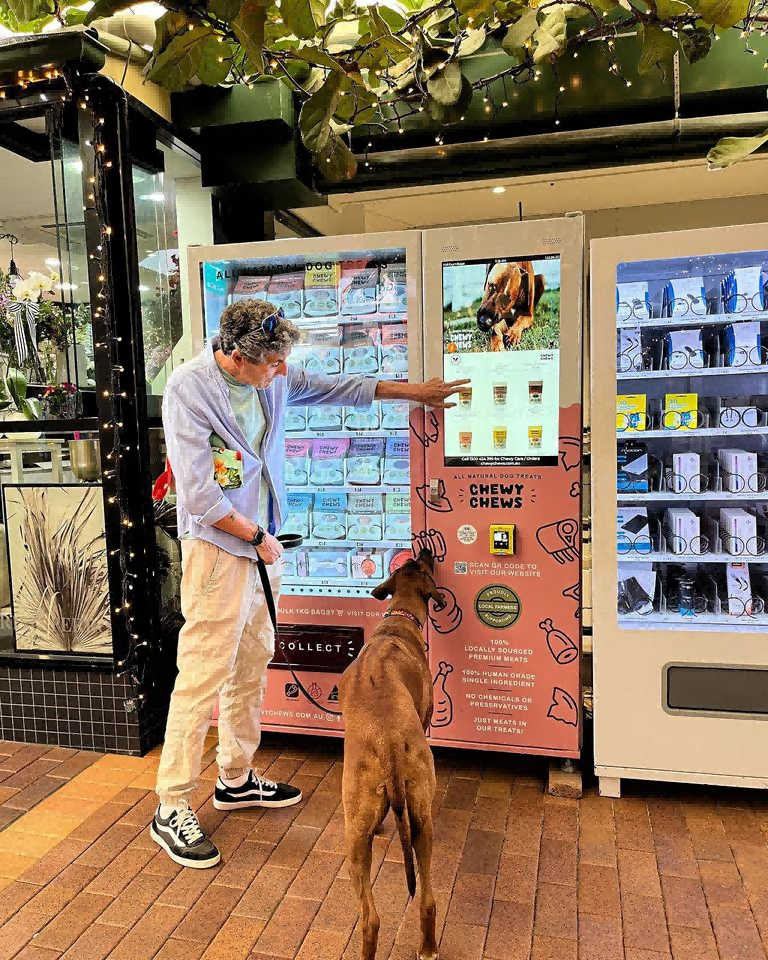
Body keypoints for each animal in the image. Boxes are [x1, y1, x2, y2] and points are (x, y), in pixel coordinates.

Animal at [340, 548, 444, 960]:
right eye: (423, 565)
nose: (425, 549)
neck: (398, 619)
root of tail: (386, 744)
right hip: (418, 812)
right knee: (422, 899)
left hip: (360, 833)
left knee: (375, 917)